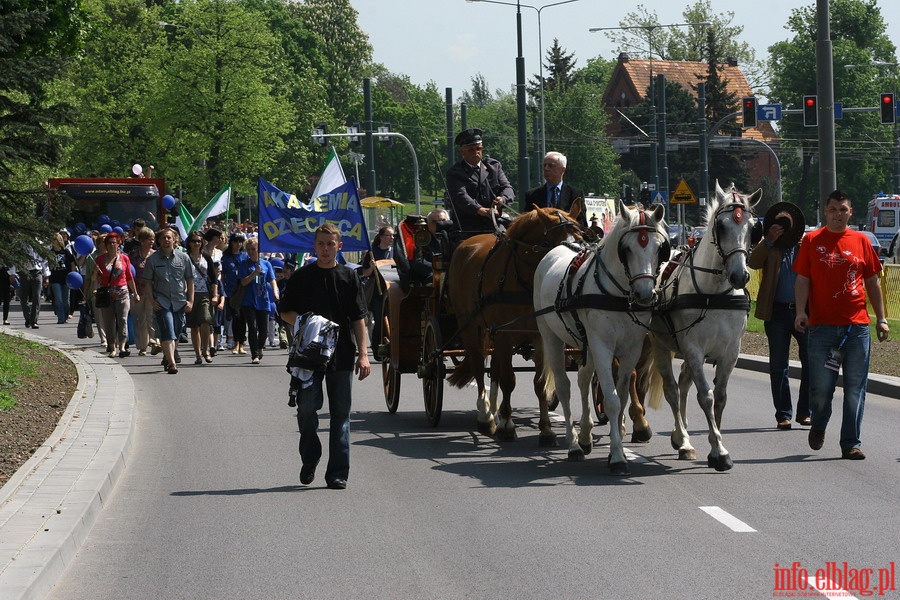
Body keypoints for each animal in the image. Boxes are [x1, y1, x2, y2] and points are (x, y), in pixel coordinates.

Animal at [448, 202, 588, 446]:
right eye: (553, 243)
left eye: (580, 236)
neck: (522, 280)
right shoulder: (504, 334)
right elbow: (508, 380)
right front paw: (507, 426)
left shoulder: (538, 336)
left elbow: (539, 383)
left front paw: (546, 431)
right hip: (470, 327)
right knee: (478, 366)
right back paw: (486, 416)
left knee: (493, 369)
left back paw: (495, 413)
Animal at [536, 202, 668, 474]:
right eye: (627, 249)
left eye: (659, 247)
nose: (644, 294)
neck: (618, 294)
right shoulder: (602, 346)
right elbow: (612, 400)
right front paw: (617, 457)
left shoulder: (630, 349)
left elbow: (622, 395)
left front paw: (618, 446)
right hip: (551, 336)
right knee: (563, 387)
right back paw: (574, 445)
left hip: (586, 344)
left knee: (584, 379)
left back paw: (585, 437)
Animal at [648, 180, 760, 472]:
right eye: (721, 226)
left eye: (753, 228)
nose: (740, 276)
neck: (715, 293)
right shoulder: (694, 349)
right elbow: (706, 397)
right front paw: (719, 451)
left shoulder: (730, 351)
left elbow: (720, 397)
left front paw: (716, 443)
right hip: (660, 345)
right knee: (672, 389)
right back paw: (682, 439)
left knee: (684, 383)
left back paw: (681, 434)